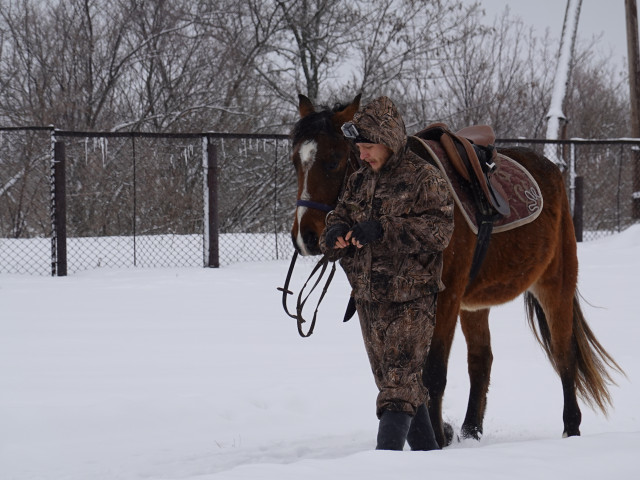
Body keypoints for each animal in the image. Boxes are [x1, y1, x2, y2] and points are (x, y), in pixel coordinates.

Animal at [288, 94, 624, 446]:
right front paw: (441, 434)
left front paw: (436, 438)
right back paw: (470, 430)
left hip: (555, 284)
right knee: (481, 360)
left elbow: (433, 372)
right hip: (475, 304)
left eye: (334, 160)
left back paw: (571, 428)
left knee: (564, 354)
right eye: (295, 161)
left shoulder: (445, 298)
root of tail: (554, 172)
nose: (305, 237)